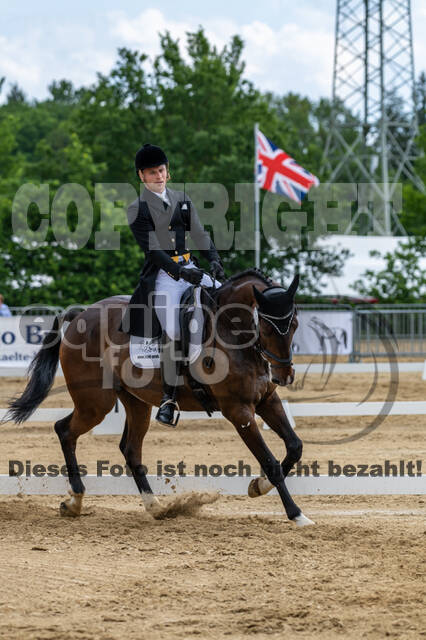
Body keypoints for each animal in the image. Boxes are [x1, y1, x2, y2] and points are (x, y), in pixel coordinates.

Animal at [5, 269, 314, 527]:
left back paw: (156, 507)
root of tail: (81, 315)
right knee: (65, 430)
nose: (284, 376)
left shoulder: (266, 401)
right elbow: (271, 461)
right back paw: (75, 502)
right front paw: (296, 514)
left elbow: (295, 447)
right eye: (266, 327)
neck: (232, 333)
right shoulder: (238, 411)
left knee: (130, 450)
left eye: (295, 324)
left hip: (135, 402)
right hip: (95, 403)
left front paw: (257, 487)